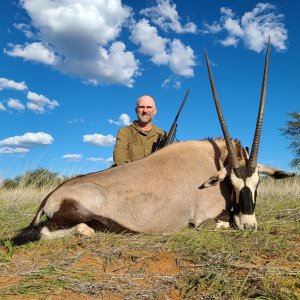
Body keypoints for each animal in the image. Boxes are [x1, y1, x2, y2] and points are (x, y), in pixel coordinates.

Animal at [12, 38, 296, 244]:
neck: (212, 162)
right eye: (232, 184)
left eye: (258, 183)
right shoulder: (203, 219)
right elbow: (225, 222)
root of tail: (52, 194)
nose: (250, 226)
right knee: (53, 231)